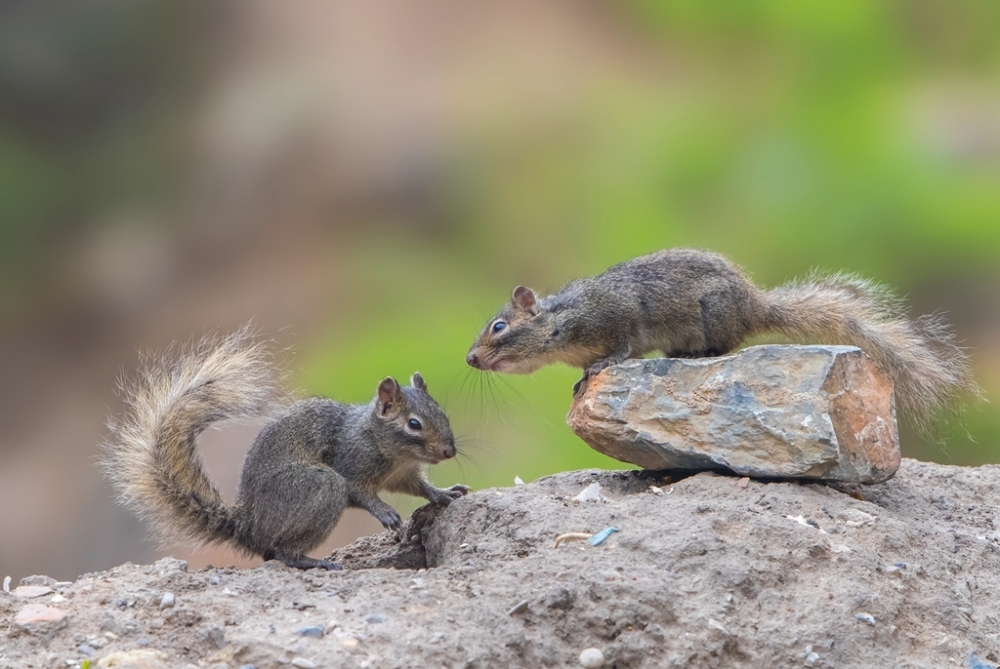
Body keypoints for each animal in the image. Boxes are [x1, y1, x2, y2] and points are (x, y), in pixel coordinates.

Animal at [103, 326, 470, 568]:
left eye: (441, 412)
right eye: (414, 424)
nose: (449, 452)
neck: (388, 448)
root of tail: (250, 528)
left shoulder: (403, 475)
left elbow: (421, 487)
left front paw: (445, 494)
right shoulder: (350, 462)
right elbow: (360, 492)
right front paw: (386, 512)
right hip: (320, 488)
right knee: (280, 553)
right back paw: (312, 562)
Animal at [464, 245, 980, 422]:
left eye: (499, 327)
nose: (469, 359)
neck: (560, 322)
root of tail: (756, 306)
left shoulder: (617, 316)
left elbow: (624, 345)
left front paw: (602, 365)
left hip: (714, 316)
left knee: (726, 345)